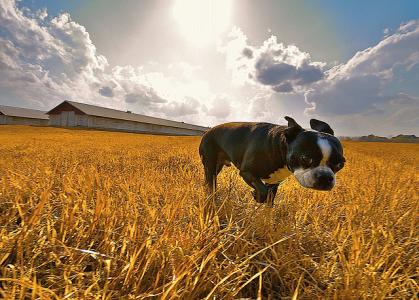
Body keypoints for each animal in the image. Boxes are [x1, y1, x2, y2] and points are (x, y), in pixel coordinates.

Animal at [200, 116, 348, 205]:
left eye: (340, 164)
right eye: (306, 158)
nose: (325, 177)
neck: (280, 146)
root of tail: (207, 131)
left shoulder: (275, 182)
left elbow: (269, 199)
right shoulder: (247, 172)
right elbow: (263, 191)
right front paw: (257, 196)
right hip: (210, 165)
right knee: (211, 182)